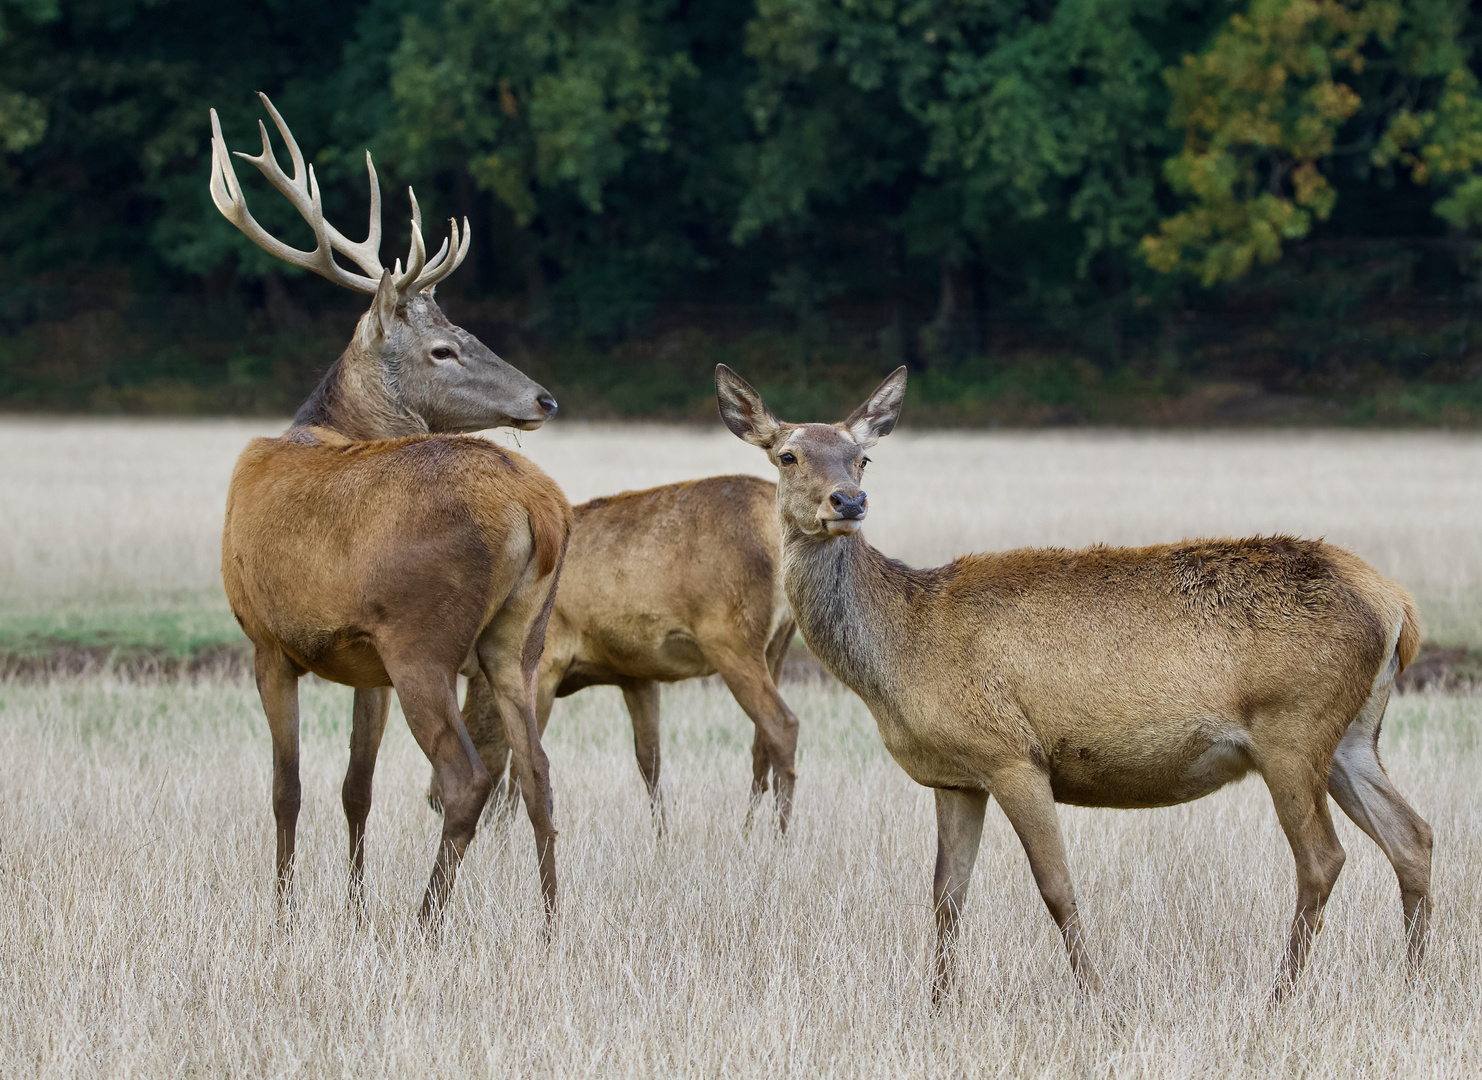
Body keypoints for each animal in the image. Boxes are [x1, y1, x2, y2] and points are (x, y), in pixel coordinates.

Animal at [211, 92, 569, 918]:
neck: (325, 426)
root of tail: (542, 509)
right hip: (517, 637)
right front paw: (351, 906)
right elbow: (355, 788)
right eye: (445, 346)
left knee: (466, 779)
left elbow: (287, 789)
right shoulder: (361, 661)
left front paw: (285, 912)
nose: (544, 398)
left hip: (423, 638)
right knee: (535, 774)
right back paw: (550, 921)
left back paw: (425, 920)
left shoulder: (267, 638)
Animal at [432, 477, 800, 829]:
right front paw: (662, 837)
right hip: (778, 644)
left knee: (783, 724)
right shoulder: (637, 675)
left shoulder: (548, 662)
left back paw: (778, 836)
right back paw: (748, 831)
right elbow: (650, 761)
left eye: (465, 728)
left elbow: (520, 762)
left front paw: (504, 838)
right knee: (761, 742)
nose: (434, 799)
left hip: (731, 639)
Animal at [717, 364, 1434, 1001]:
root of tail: (1399, 605)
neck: (899, 649)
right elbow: (946, 896)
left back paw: (1280, 995)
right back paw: (1414, 985)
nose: (848, 502)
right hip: (1351, 736)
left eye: (862, 458)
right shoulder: (954, 776)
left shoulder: (1012, 753)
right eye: (787, 455)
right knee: (1413, 835)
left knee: (1323, 858)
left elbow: (1056, 887)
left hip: (1293, 727)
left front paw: (1096, 998)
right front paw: (938, 1004)